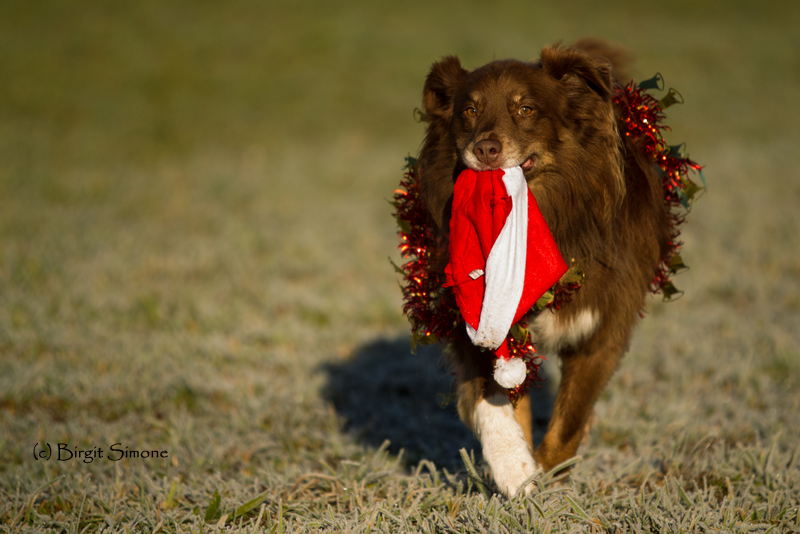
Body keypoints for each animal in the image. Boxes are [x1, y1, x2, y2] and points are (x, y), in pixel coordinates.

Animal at [416, 40, 672, 498]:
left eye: (526, 109)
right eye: (469, 110)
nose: (485, 149)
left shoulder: (601, 327)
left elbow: (569, 422)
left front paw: (548, 482)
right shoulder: (474, 317)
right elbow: (491, 398)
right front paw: (514, 468)